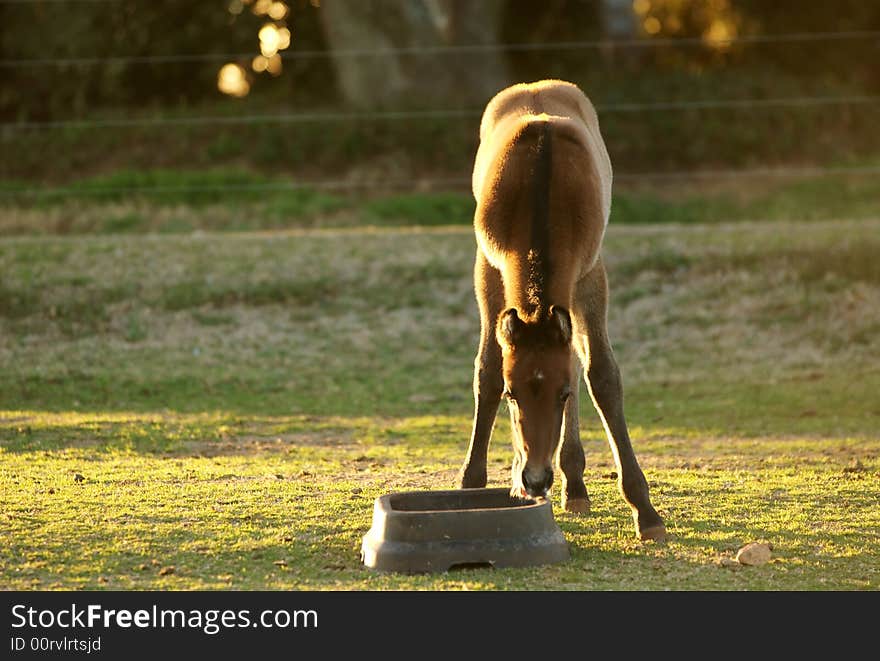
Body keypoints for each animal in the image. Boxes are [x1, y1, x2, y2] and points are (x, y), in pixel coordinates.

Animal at [458, 78, 664, 540]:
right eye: (513, 395)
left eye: (562, 393)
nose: (537, 478)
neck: (540, 192)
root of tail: (534, 84)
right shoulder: (488, 268)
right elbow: (488, 368)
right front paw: (472, 484)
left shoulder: (589, 276)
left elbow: (601, 376)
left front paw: (645, 510)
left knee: (576, 356)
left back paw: (574, 484)